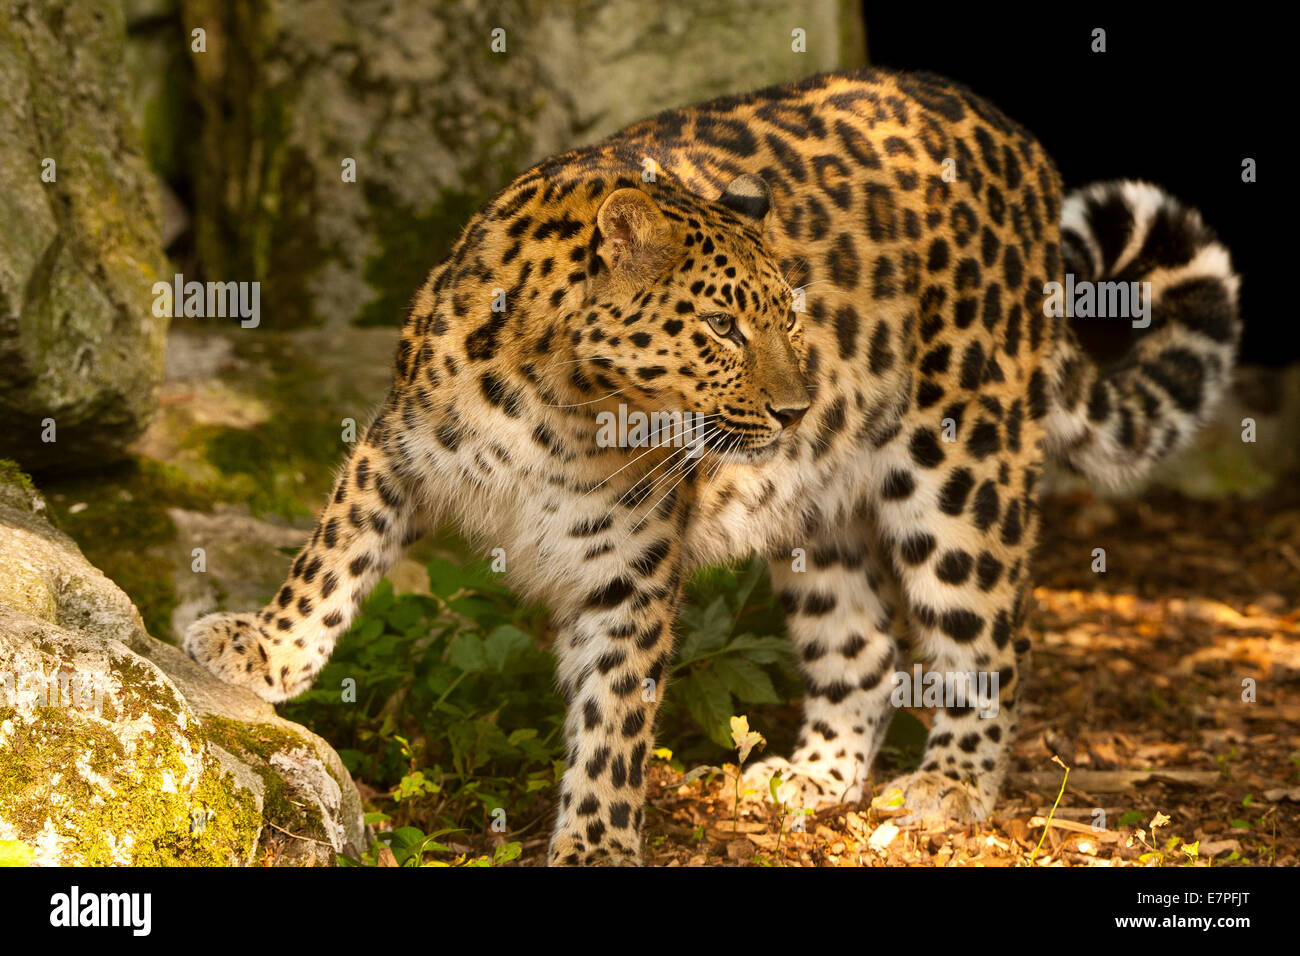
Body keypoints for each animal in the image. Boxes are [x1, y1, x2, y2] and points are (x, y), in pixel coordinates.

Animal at [180, 63, 1237, 863]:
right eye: (726, 326)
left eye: (791, 318)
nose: (796, 406)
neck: (553, 398)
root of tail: (1016, 139)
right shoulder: (395, 448)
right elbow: (330, 562)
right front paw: (263, 650)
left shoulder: (629, 558)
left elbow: (616, 713)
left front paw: (597, 843)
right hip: (819, 510)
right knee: (863, 646)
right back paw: (811, 779)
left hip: (961, 462)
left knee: (990, 640)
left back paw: (948, 788)